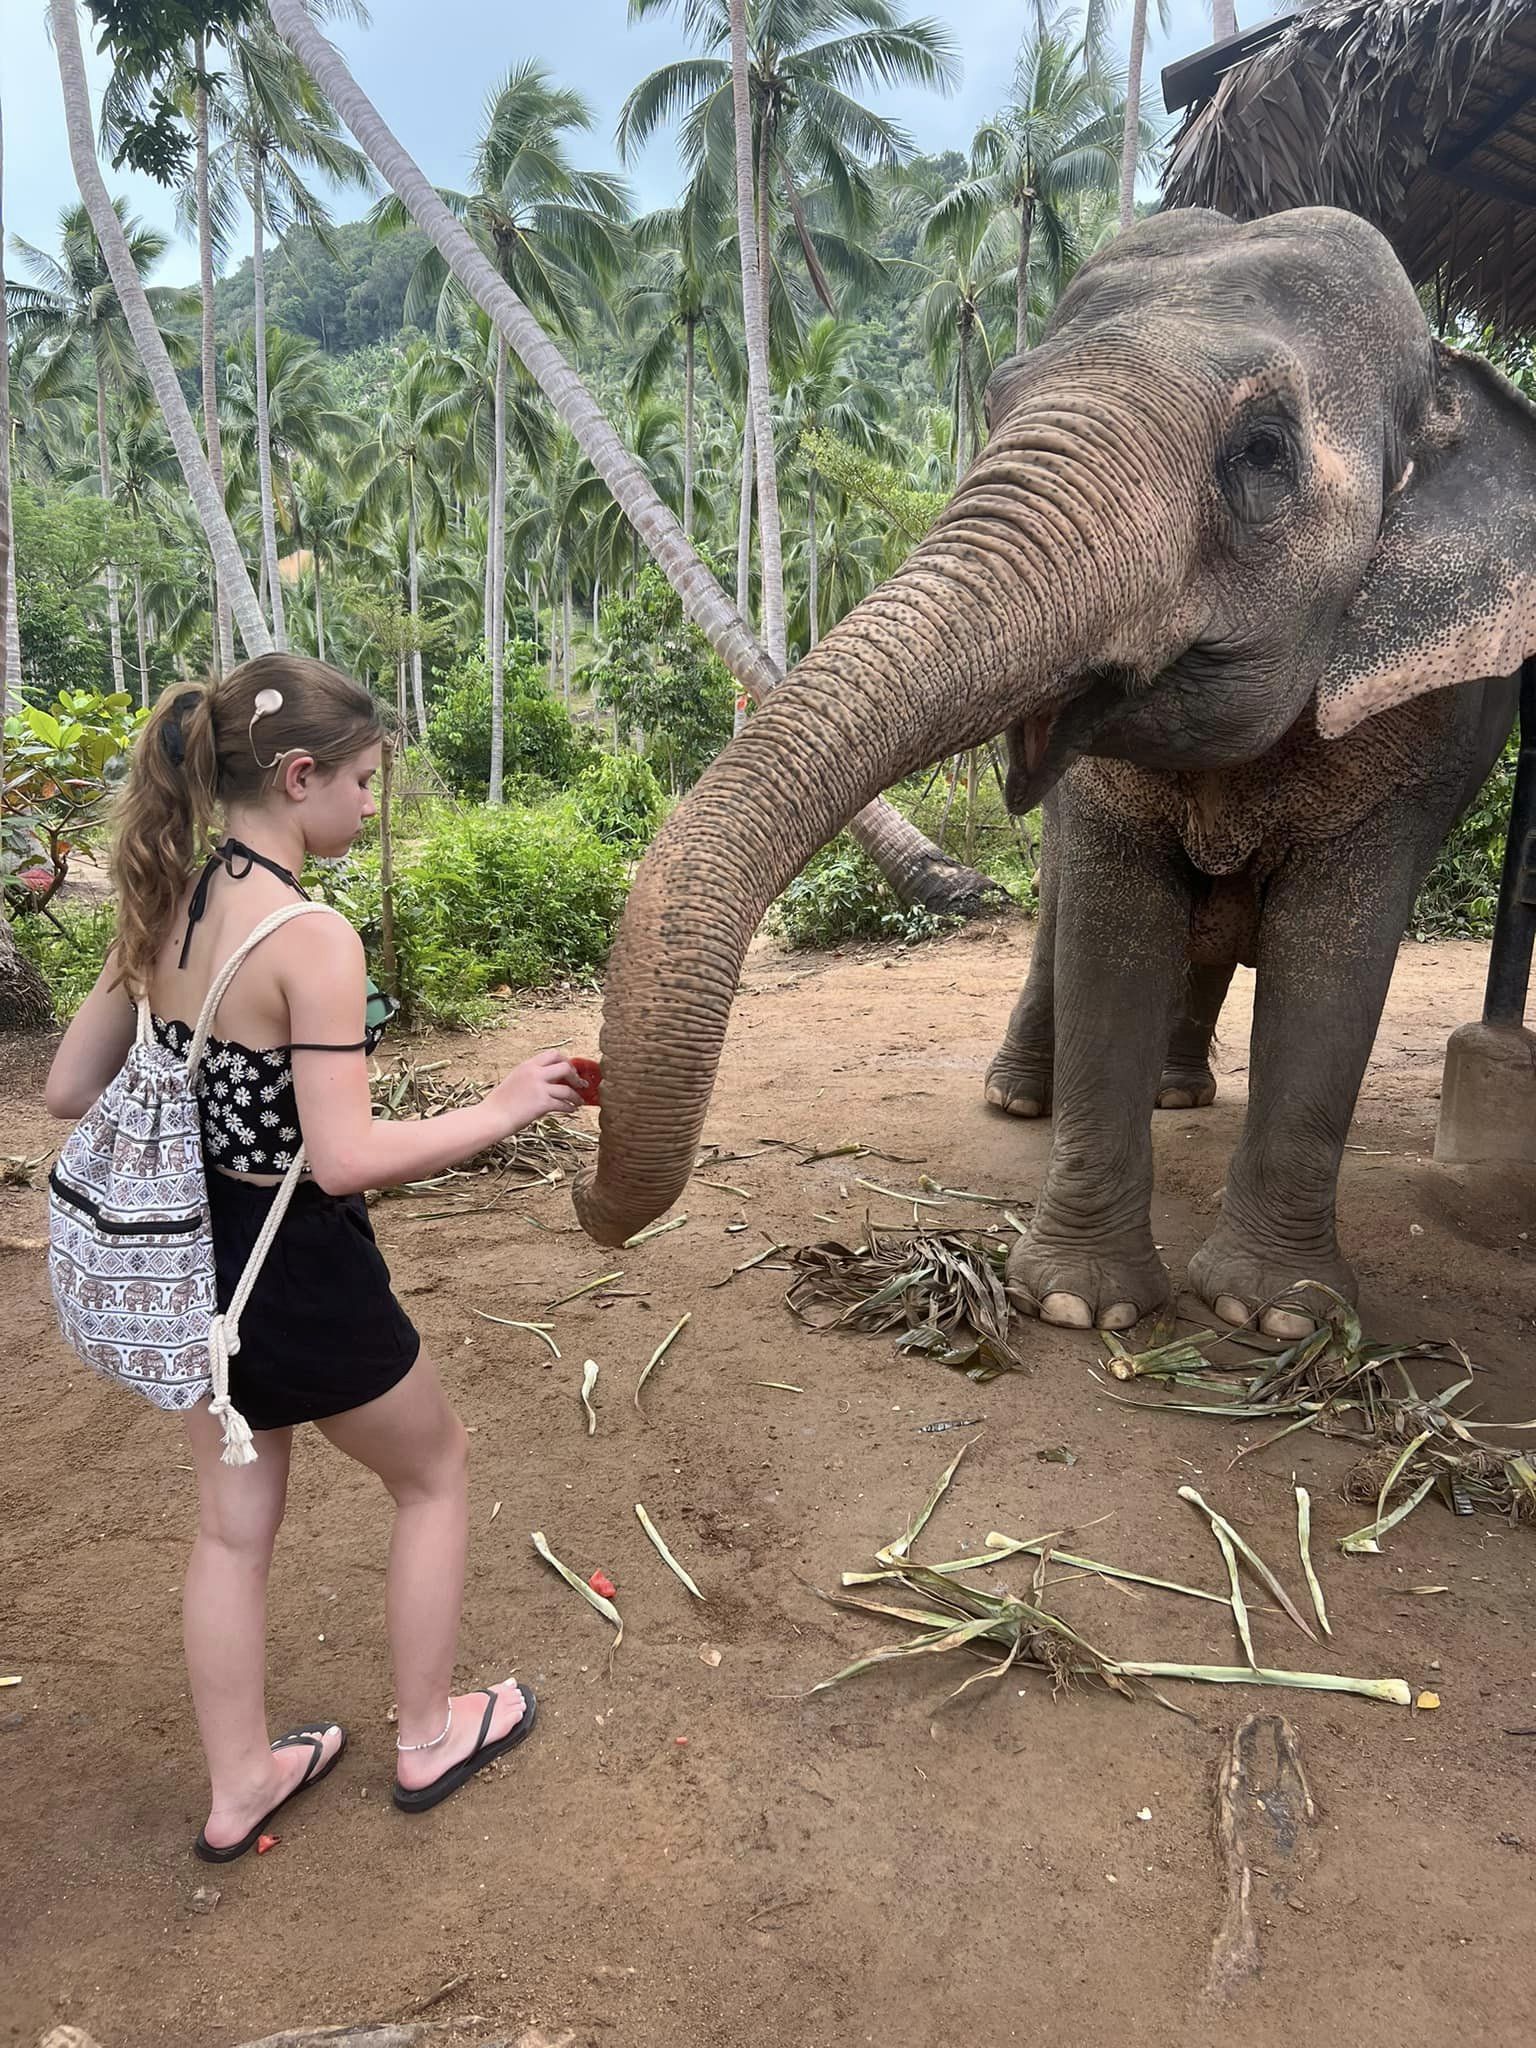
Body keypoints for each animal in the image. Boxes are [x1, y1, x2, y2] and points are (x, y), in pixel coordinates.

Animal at [574, 206, 1527, 1343]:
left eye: (1263, 450)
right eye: (994, 401)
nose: (585, 1195)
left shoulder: (1427, 732)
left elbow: (1334, 965)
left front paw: (1276, 1318)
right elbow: (1114, 934)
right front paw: (1081, 1304)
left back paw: (1180, 1097)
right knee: (1065, 918)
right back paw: (1028, 1099)